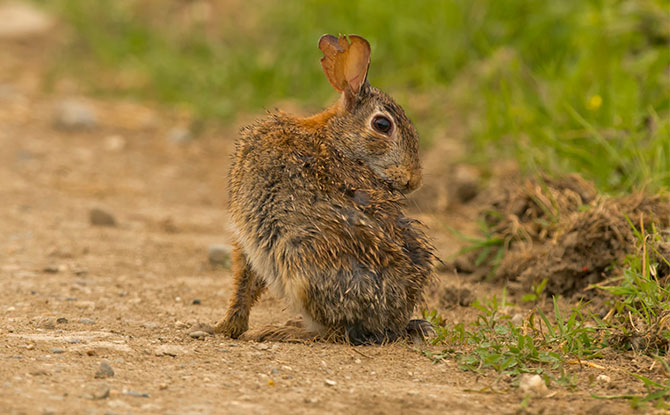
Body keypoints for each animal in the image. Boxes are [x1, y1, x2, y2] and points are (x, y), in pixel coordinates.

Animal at [213, 32, 438, 346]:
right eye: (382, 124)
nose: (413, 180)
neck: (332, 137)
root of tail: (390, 322)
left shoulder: (251, 233)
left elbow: (243, 281)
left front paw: (223, 328)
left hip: (300, 264)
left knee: (334, 331)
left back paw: (283, 331)